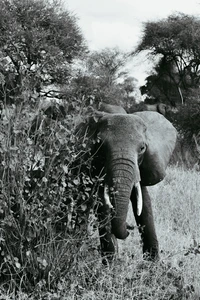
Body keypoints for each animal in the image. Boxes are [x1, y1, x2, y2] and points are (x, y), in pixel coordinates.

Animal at [77, 105, 177, 262]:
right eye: (101, 146)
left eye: (142, 148)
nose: (129, 227)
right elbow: (102, 205)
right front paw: (111, 265)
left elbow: (144, 202)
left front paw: (153, 264)